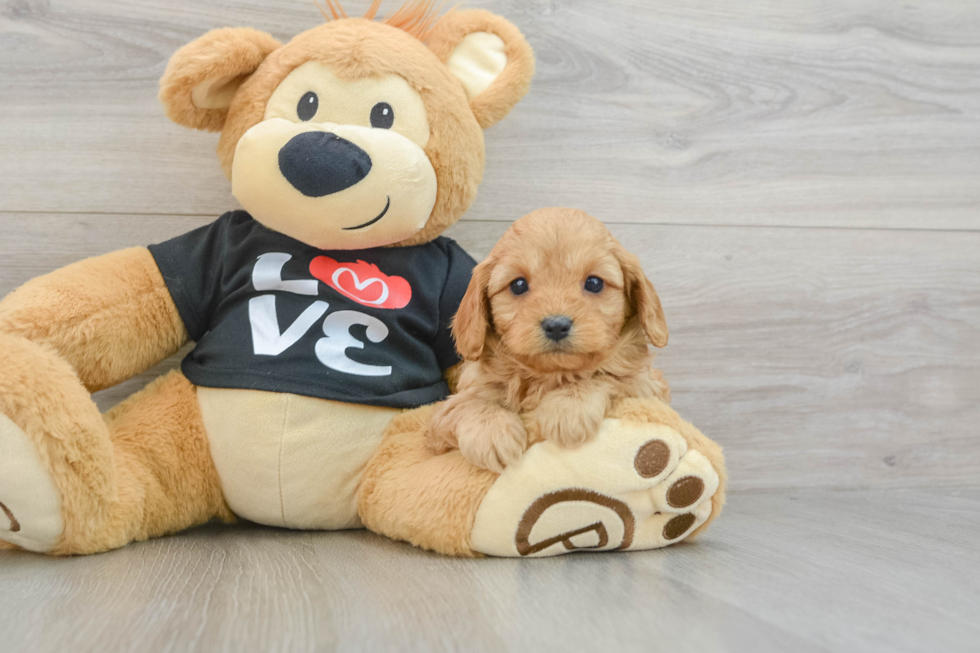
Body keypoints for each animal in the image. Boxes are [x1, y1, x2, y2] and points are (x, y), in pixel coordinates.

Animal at [428, 206, 672, 472]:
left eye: (594, 282)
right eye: (518, 285)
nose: (556, 325)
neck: (549, 375)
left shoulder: (647, 387)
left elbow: (606, 376)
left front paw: (568, 407)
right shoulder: (444, 416)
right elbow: (469, 403)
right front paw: (491, 433)